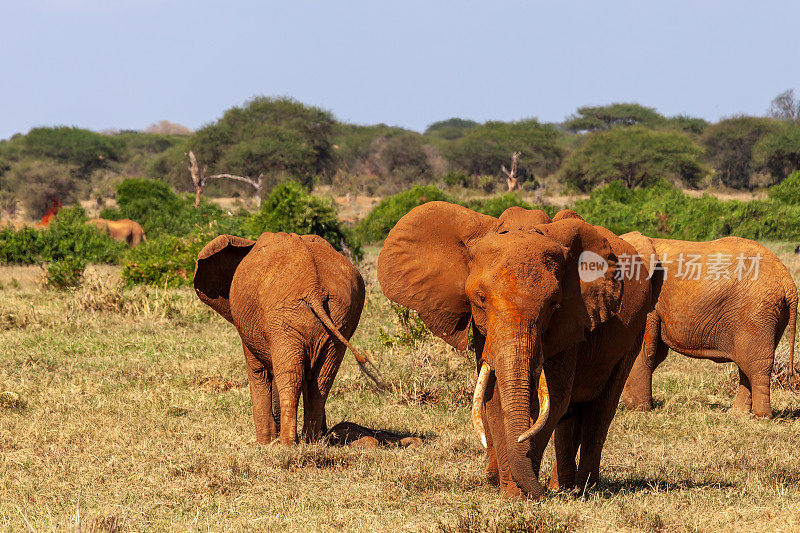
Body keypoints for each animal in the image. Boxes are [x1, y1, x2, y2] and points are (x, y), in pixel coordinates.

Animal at [194, 233, 382, 444]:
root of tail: (313, 288)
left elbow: (258, 371)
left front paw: (265, 443)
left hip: (285, 318)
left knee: (292, 377)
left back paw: (287, 444)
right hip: (340, 314)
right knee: (321, 378)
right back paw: (311, 441)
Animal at [620, 232, 792, 416]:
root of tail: (787, 281)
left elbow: (644, 350)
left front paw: (638, 409)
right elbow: (656, 351)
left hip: (757, 312)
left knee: (757, 365)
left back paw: (761, 417)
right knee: (747, 362)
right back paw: (738, 413)